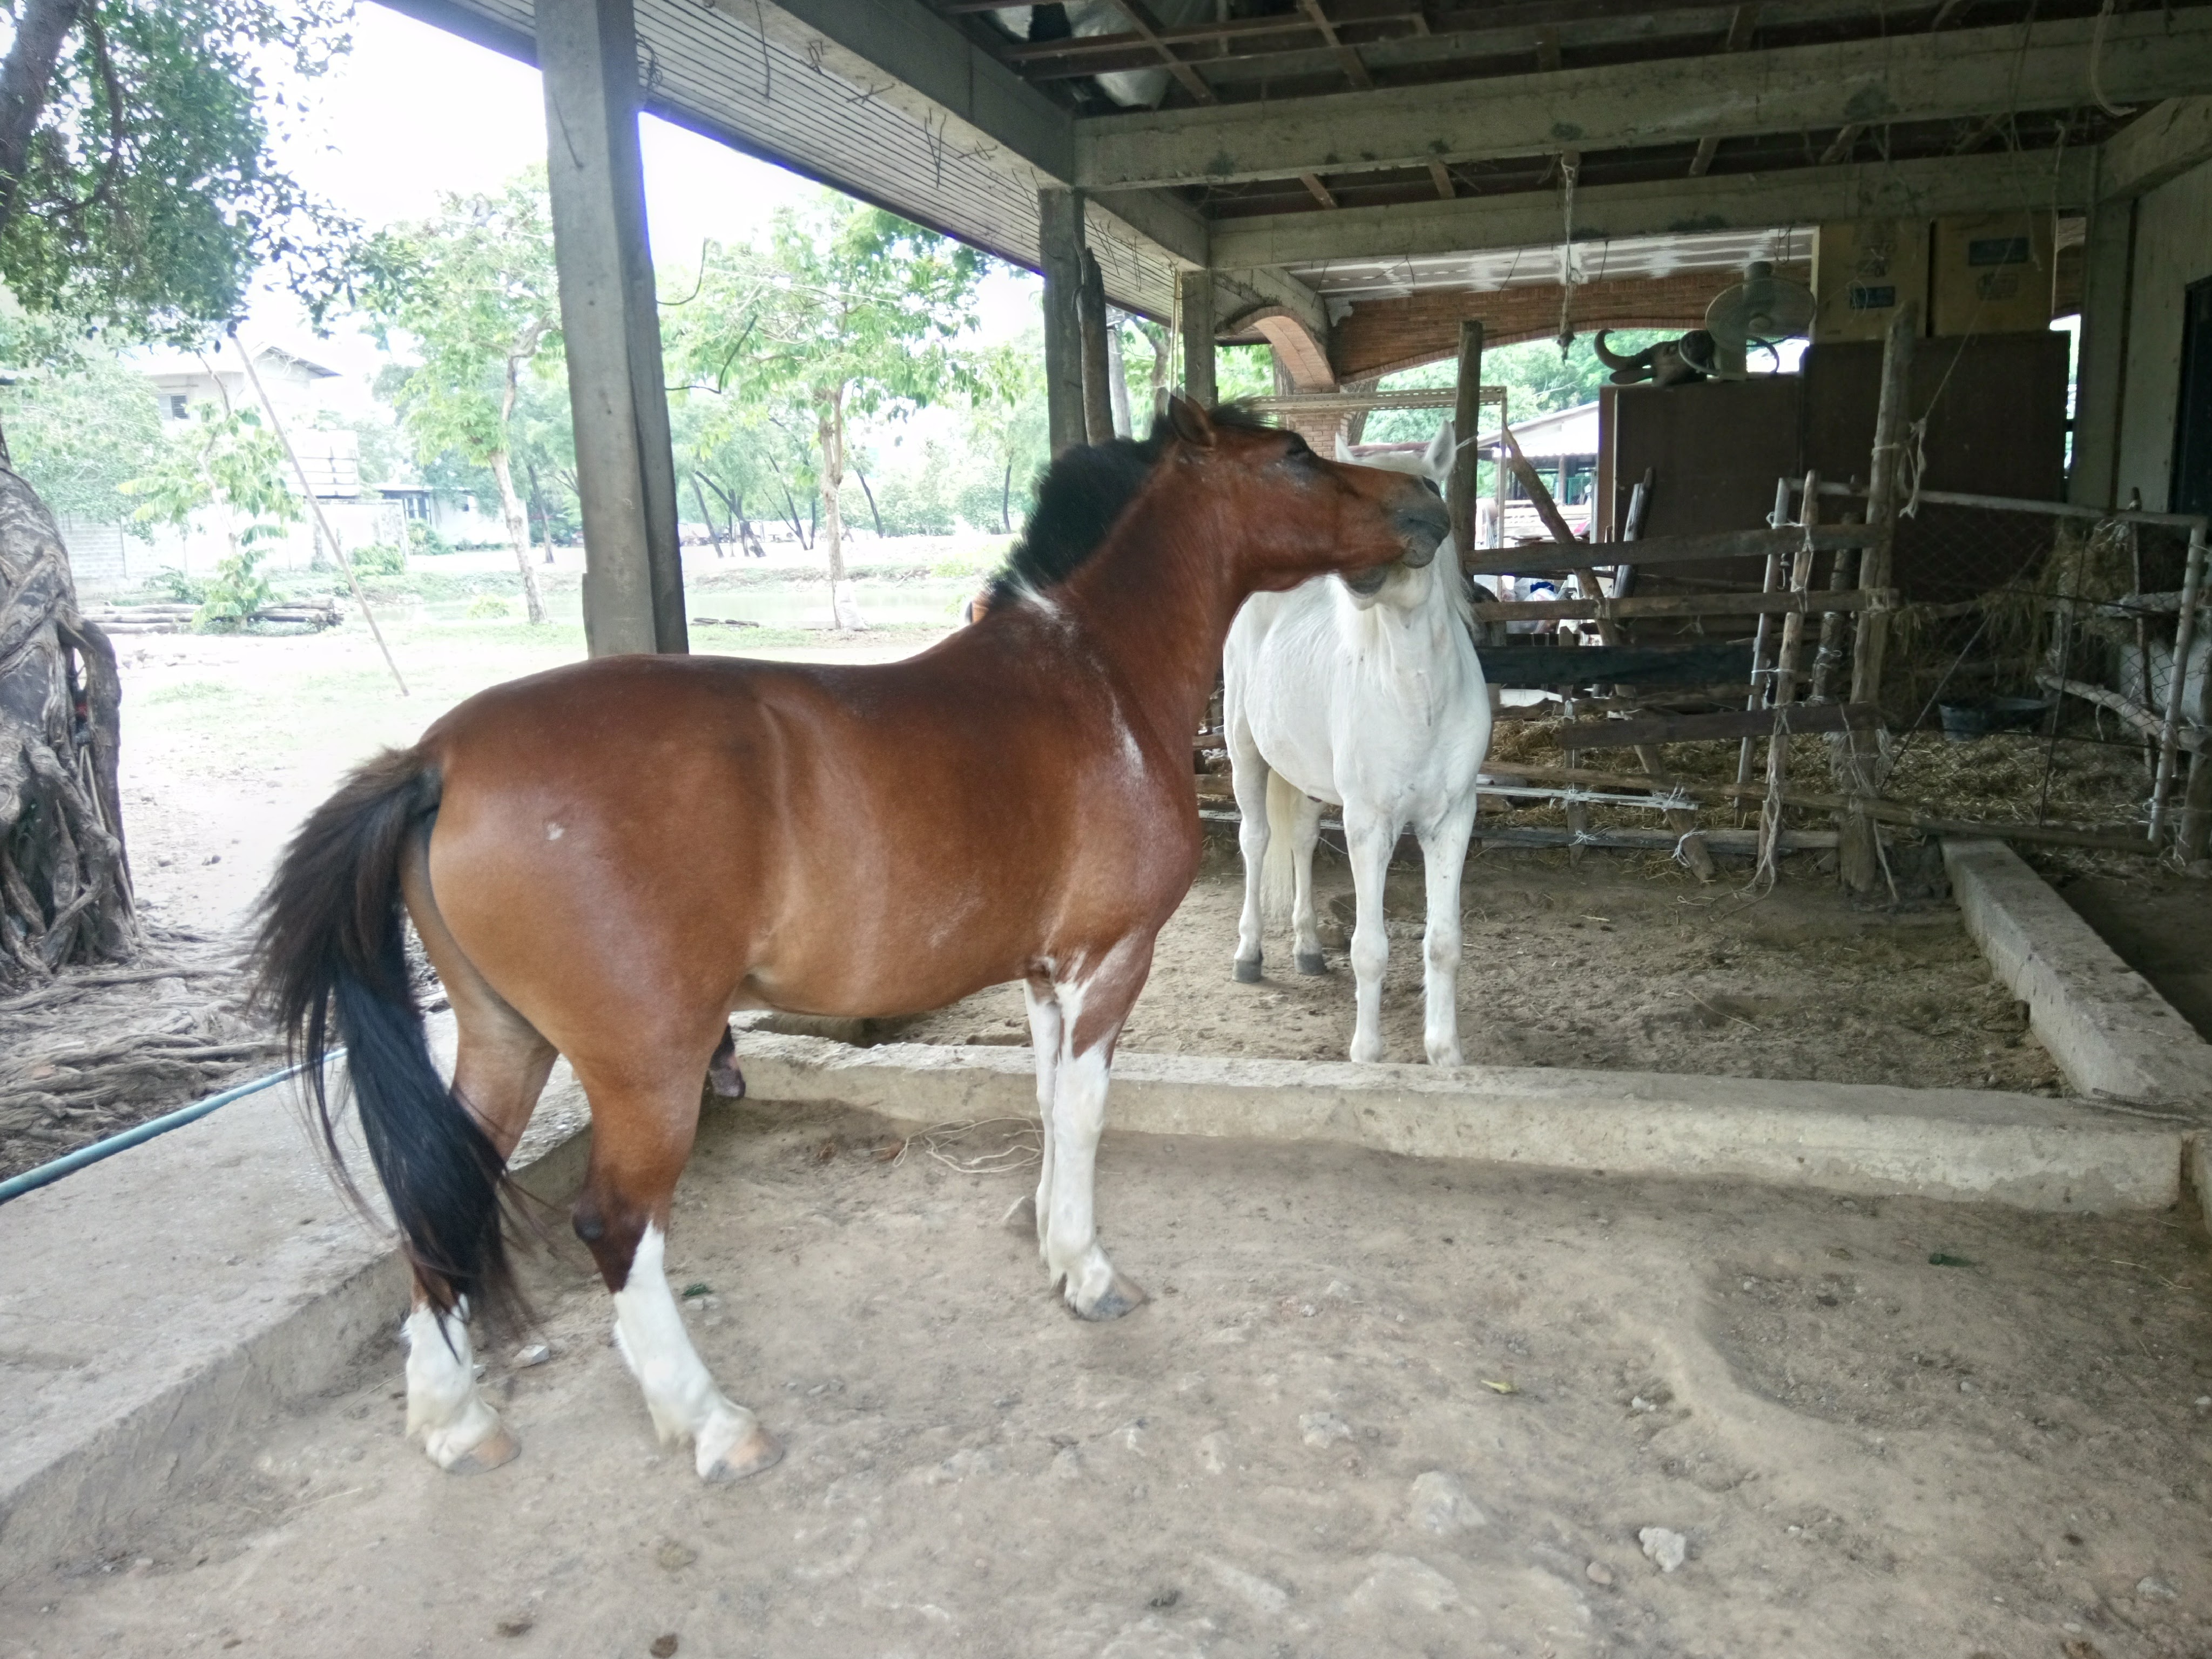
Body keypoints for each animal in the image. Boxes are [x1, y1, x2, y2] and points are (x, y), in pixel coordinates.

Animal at [253, 398, 1449, 1485]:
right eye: (1293, 455)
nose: (1426, 506)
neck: (1093, 678)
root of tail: (437, 760)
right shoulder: (1107, 962)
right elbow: (1084, 1113)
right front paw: (1088, 1270)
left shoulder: (1044, 975)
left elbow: (1046, 1103)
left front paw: (1047, 1239)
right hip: (646, 1064)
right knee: (615, 1224)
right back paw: (710, 1423)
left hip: (506, 1040)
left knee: (437, 1199)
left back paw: (454, 1420)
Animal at [1221, 420, 1494, 1066]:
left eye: (1429, 486)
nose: (1360, 566)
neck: (1418, 698)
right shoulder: (1370, 825)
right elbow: (1371, 948)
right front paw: (1366, 1055)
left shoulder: (1452, 820)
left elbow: (1443, 942)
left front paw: (1445, 1055)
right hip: (1246, 754)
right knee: (1255, 840)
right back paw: (1249, 956)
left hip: (1304, 776)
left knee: (1298, 840)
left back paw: (1307, 950)